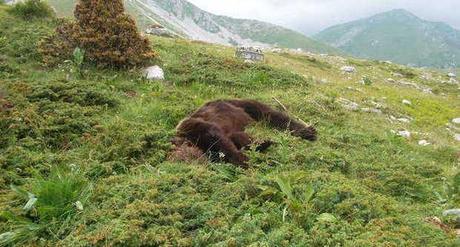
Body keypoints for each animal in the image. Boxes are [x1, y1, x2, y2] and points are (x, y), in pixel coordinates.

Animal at [171, 99, 318, 169]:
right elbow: (236, 139)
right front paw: (261, 145)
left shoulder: (195, 126)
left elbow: (219, 139)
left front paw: (252, 161)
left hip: (242, 105)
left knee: (271, 114)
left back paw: (308, 132)